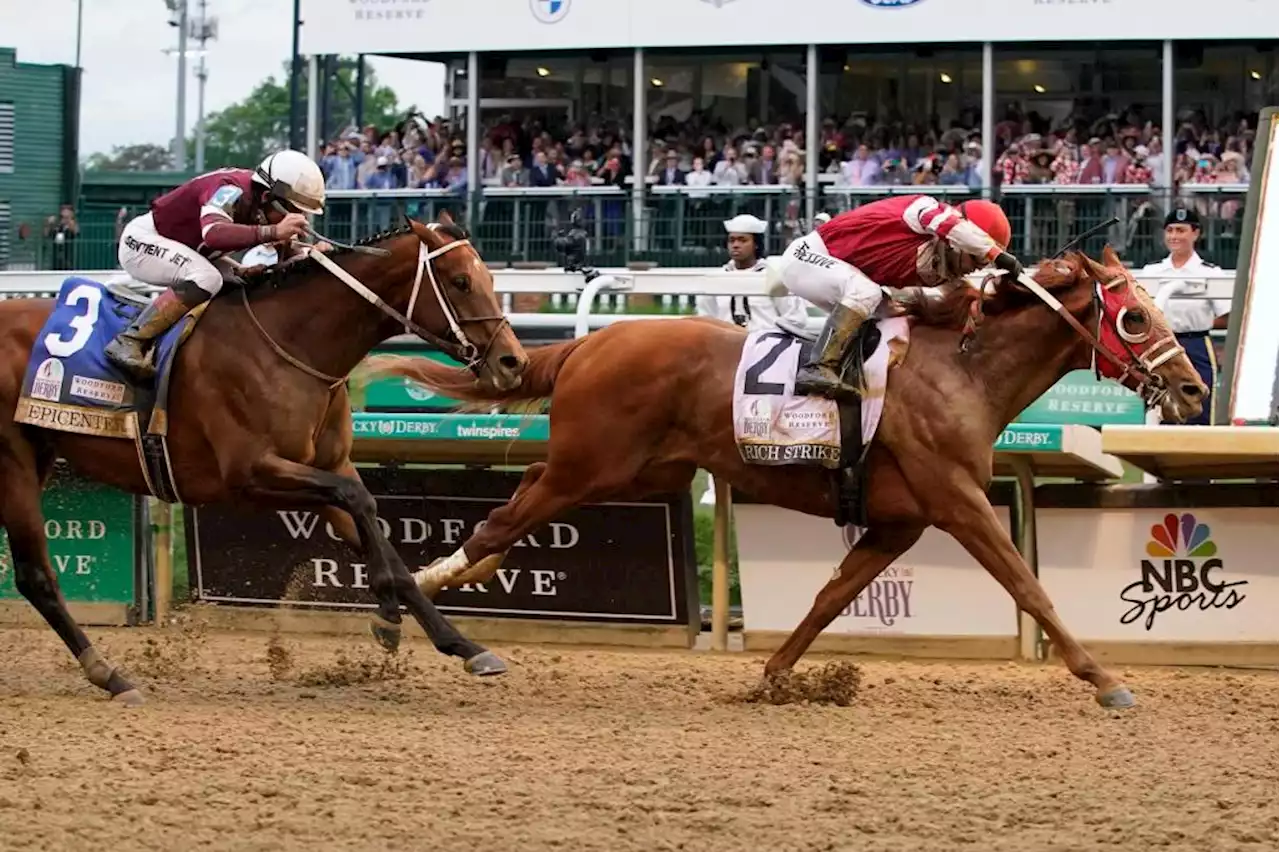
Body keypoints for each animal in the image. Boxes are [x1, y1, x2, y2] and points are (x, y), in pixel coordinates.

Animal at [0, 208, 529, 701]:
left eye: (490, 278)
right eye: (460, 281)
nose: (513, 362)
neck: (291, 345)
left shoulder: (325, 466)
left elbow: (376, 531)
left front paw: (457, 643)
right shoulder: (251, 474)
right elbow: (358, 502)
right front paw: (389, 615)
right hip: (14, 465)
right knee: (36, 575)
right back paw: (111, 675)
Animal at [366, 246, 1203, 711]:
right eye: (1134, 318)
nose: (1194, 390)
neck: (961, 369)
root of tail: (587, 345)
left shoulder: (900, 520)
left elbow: (831, 597)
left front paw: (772, 675)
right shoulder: (958, 501)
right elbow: (1028, 585)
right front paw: (1105, 678)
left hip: (625, 471)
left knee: (515, 511)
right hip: (591, 465)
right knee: (499, 519)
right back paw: (417, 598)